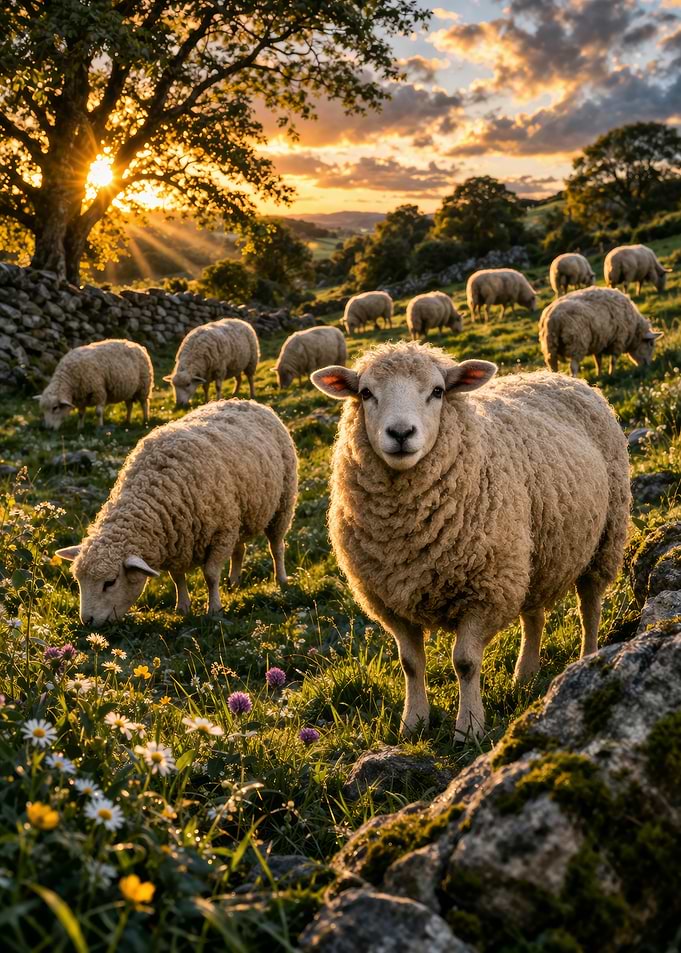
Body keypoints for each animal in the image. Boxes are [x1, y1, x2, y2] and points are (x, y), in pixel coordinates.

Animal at [54, 400, 298, 625]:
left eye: (110, 582)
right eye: (79, 581)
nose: (87, 621)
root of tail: (249, 402)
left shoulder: (221, 532)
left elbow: (210, 575)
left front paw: (214, 609)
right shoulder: (177, 540)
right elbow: (177, 578)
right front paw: (183, 607)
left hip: (283, 504)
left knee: (276, 546)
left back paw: (281, 579)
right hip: (240, 514)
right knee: (240, 548)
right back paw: (234, 581)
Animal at [311, 341, 630, 740]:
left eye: (437, 391)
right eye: (366, 393)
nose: (400, 433)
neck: (408, 534)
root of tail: (560, 376)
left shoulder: (485, 590)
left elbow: (464, 662)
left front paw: (469, 728)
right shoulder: (389, 600)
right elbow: (410, 663)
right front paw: (413, 723)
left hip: (603, 540)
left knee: (589, 608)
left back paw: (588, 658)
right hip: (529, 556)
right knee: (534, 615)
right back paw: (525, 675)